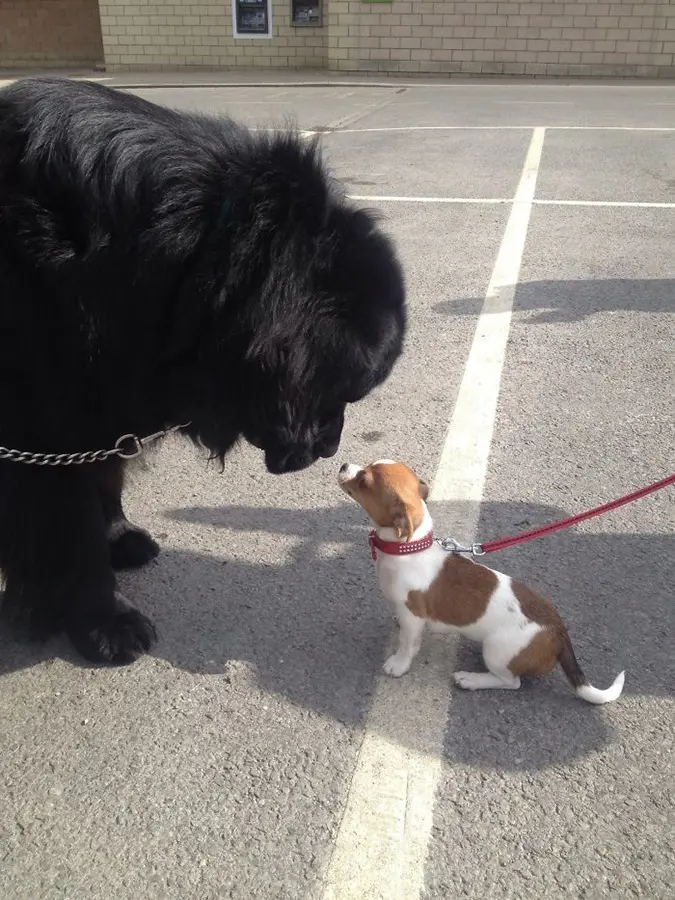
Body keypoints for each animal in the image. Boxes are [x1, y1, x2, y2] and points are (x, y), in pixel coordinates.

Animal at [0, 77, 404, 664]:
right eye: (338, 392)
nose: (331, 447)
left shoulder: (107, 397)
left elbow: (105, 474)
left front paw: (119, 536)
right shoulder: (43, 427)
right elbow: (70, 527)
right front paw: (106, 621)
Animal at [340, 460, 624, 708]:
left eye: (364, 480)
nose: (343, 465)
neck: (408, 548)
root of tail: (559, 630)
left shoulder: (413, 617)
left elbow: (408, 645)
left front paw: (398, 664)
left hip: (496, 651)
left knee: (512, 682)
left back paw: (471, 679)